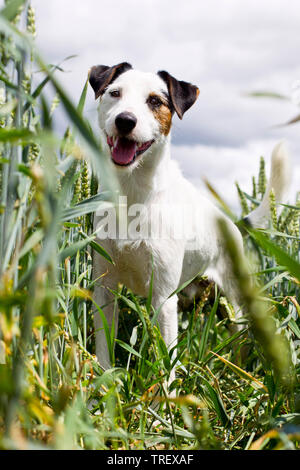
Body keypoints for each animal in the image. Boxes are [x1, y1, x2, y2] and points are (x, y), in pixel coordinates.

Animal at [88, 61, 290, 386]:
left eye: (155, 101)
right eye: (114, 93)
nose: (125, 120)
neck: (134, 195)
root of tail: (231, 224)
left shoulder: (162, 297)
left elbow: (165, 356)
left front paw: (166, 397)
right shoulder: (104, 288)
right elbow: (105, 345)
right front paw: (104, 385)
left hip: (233, 301)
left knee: (240, 338)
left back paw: (237, 375)